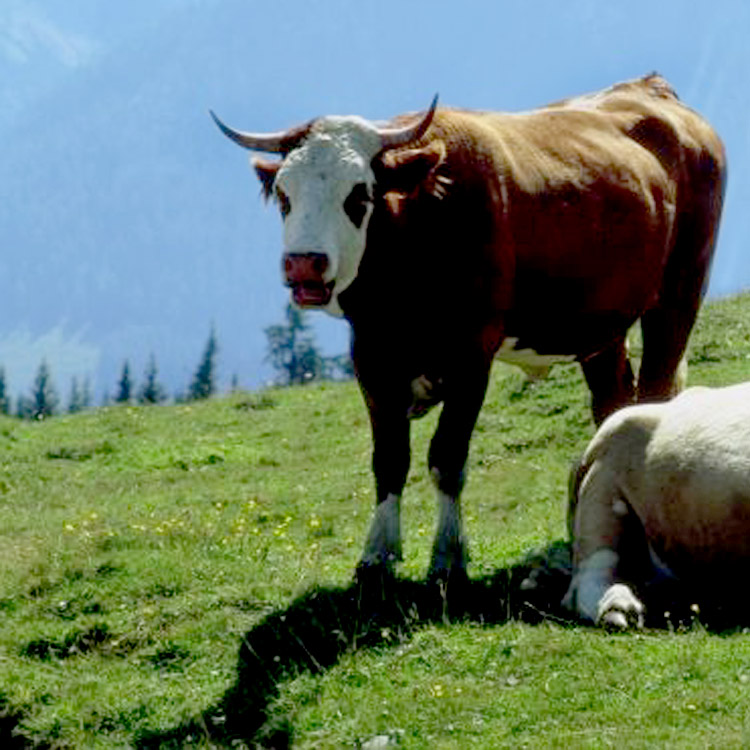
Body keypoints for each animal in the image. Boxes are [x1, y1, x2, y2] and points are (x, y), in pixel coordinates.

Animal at [211, 75, 725, 586]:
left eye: (358, 194)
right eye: (284, 194)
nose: (304, 264)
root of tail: (652, 88)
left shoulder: (471, 354)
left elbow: (446, 457)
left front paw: (448, 556)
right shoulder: (371, 355)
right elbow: (389, 460)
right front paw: (376, 555)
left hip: (679, 294)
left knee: (655, 390)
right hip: (601, 325)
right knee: (612, 404)